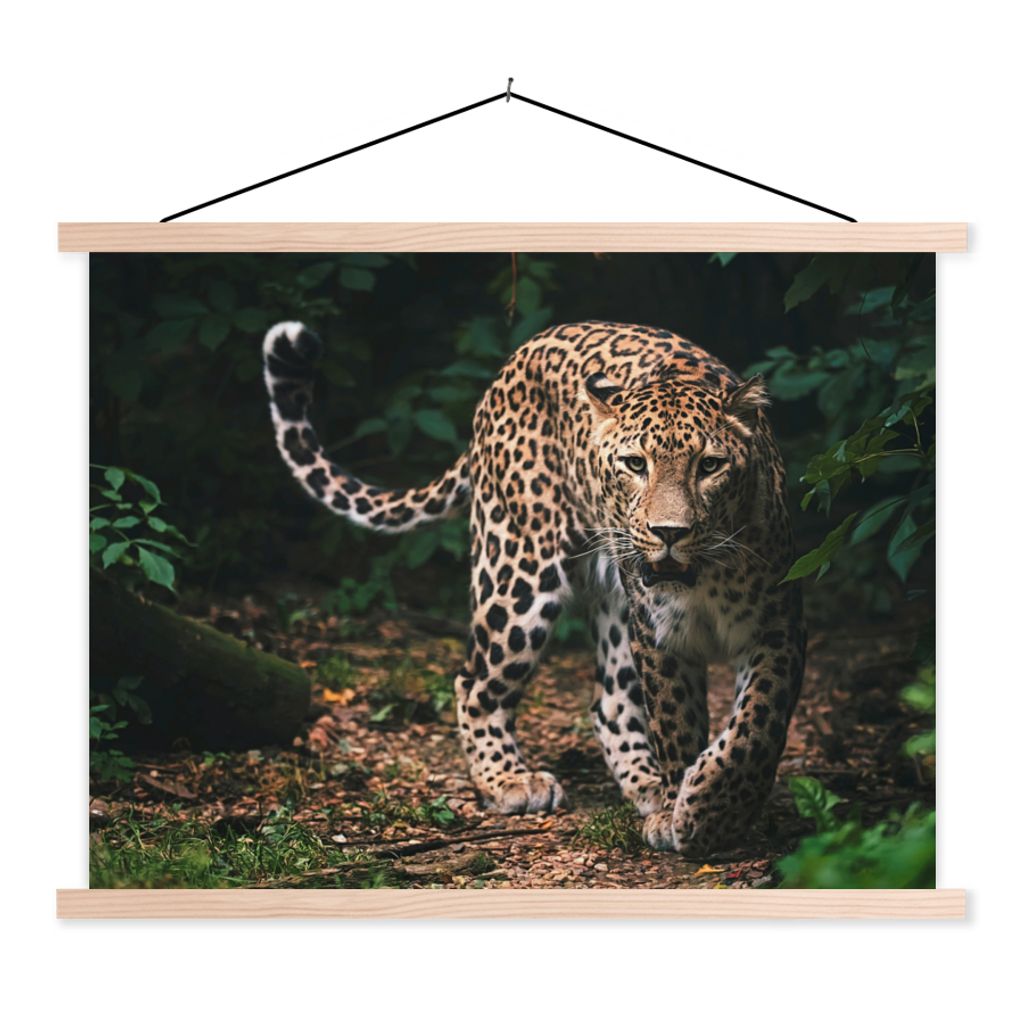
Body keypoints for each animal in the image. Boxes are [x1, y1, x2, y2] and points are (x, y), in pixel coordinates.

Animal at [263, 318, 805, 854]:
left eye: (710, 465)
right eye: (635, 464)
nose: (669, 533)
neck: (703, 577)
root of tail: (516, 359)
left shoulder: (777, 626)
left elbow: (756, 726)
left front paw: (712, 808)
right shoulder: (658, 637)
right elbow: (677, 725)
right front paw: (689, 813)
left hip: (611, 602)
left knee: (609, 701)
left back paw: (646, 787)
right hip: (517, 573)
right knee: (474, 681)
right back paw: (511, 781)